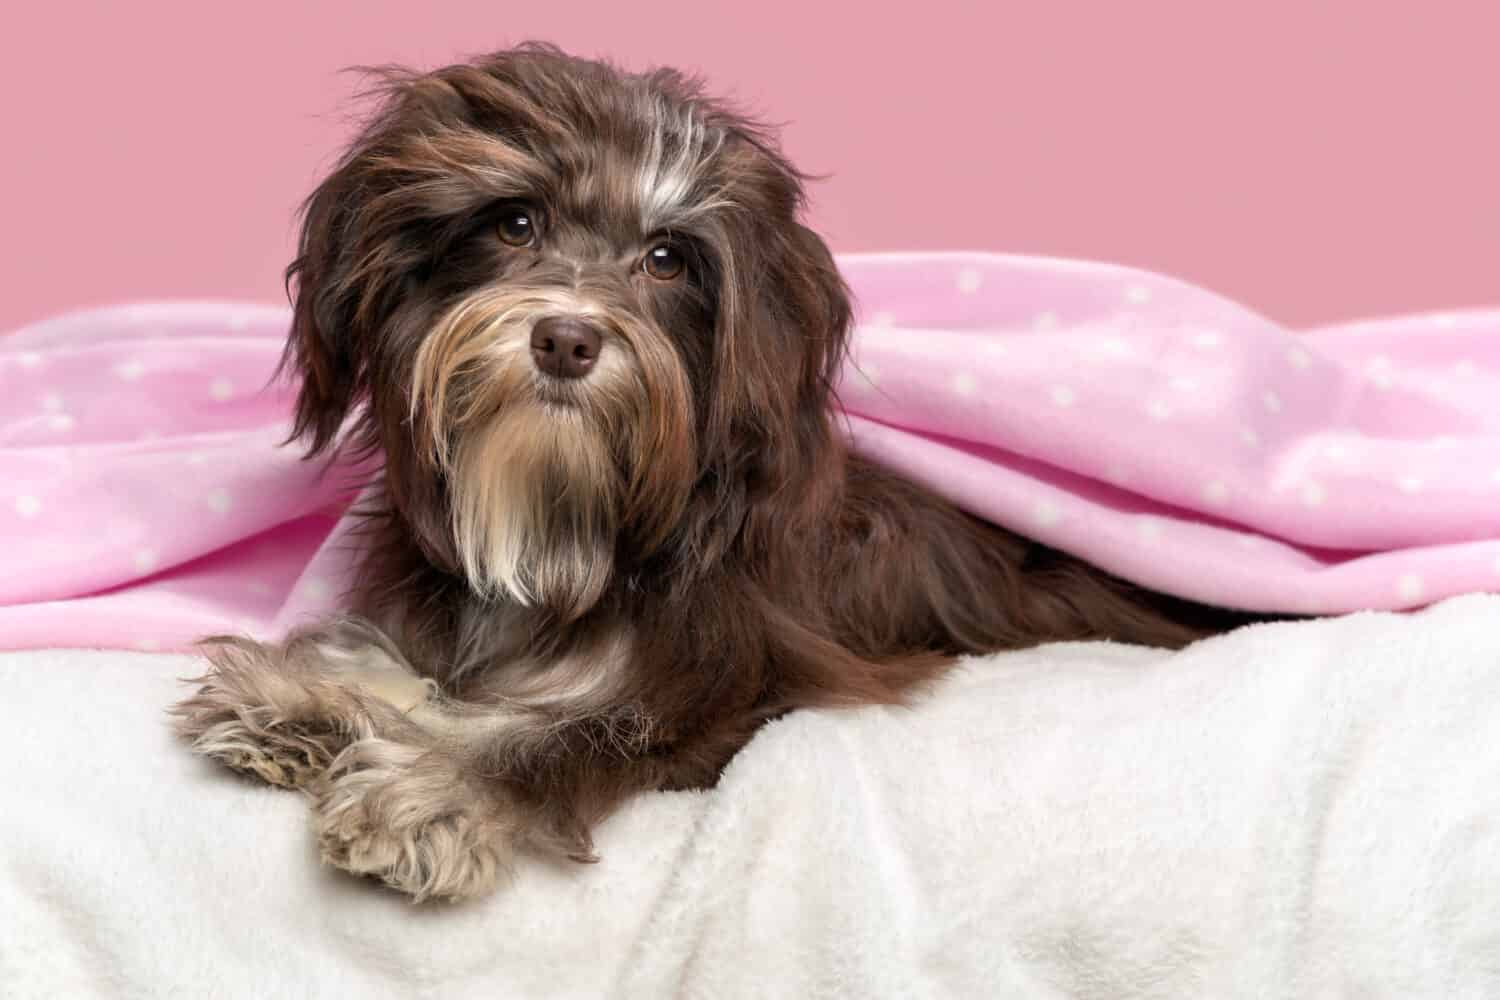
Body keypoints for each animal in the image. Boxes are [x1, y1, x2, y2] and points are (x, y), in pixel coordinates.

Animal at [172, 43, 1254, 905]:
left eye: (666, 259)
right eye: (515, 224)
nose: (567, 338)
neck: (573, 513)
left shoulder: (737, 682)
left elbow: (563, 733)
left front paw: (435, 794)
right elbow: (415, 664)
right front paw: (303, 695)